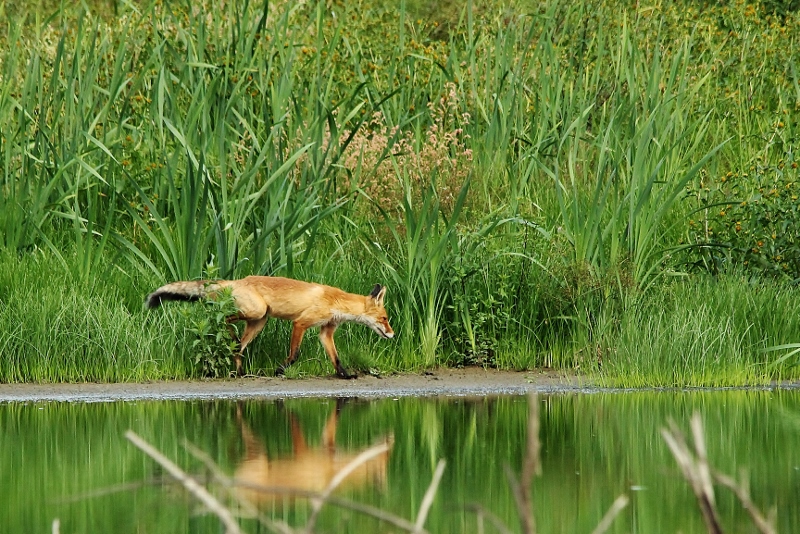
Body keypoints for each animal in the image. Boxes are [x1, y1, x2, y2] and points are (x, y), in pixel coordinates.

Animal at [145, 278, 396, 378]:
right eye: (385, 318)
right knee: (225, 319)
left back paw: (240, 371)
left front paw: (345, 375)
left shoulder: (326, 331)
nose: (393, 334)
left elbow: (336, 358)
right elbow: (294, 355)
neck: (335, 301)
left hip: (259, 322)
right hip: (257, 312)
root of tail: (236, 280)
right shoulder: (301, 323)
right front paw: (280, 370)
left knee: (239, 348)